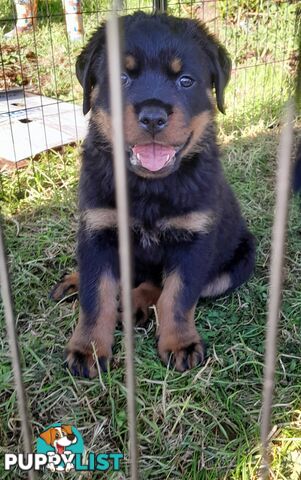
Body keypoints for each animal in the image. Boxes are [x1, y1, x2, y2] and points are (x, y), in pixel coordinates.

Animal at [54, 12, 255, 378]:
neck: (149, 187)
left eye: (186, 81)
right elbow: (96, 295)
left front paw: (179, 344)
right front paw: (88, 349)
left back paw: (135, 305)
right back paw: (78, 283)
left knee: (158, 286)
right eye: (121, 78)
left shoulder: (194, 240)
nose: (152, 116)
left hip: (239, 261)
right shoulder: (97, 231)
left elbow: (177, 296)